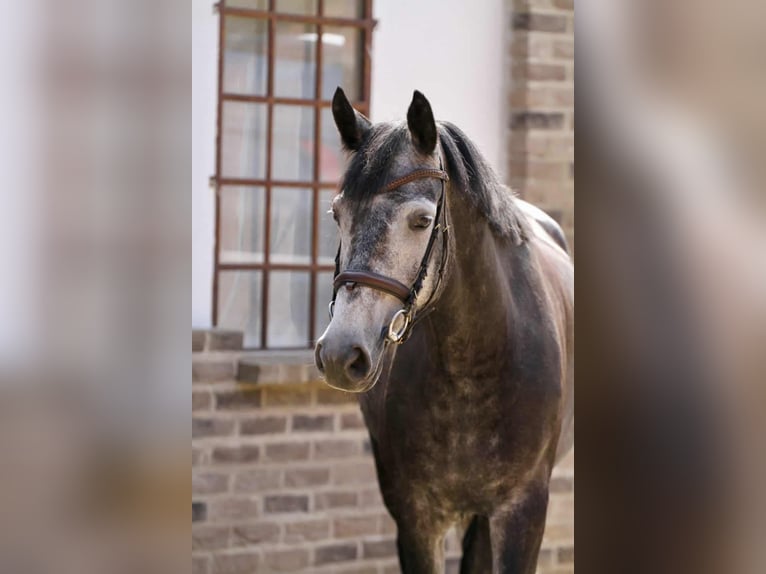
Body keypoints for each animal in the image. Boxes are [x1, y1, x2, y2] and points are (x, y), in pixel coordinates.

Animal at [314, 88, 574, 574]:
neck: (475, 361)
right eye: (337, 215)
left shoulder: (523, 511)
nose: (340, 354)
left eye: (420, 220)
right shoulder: (416, 517)